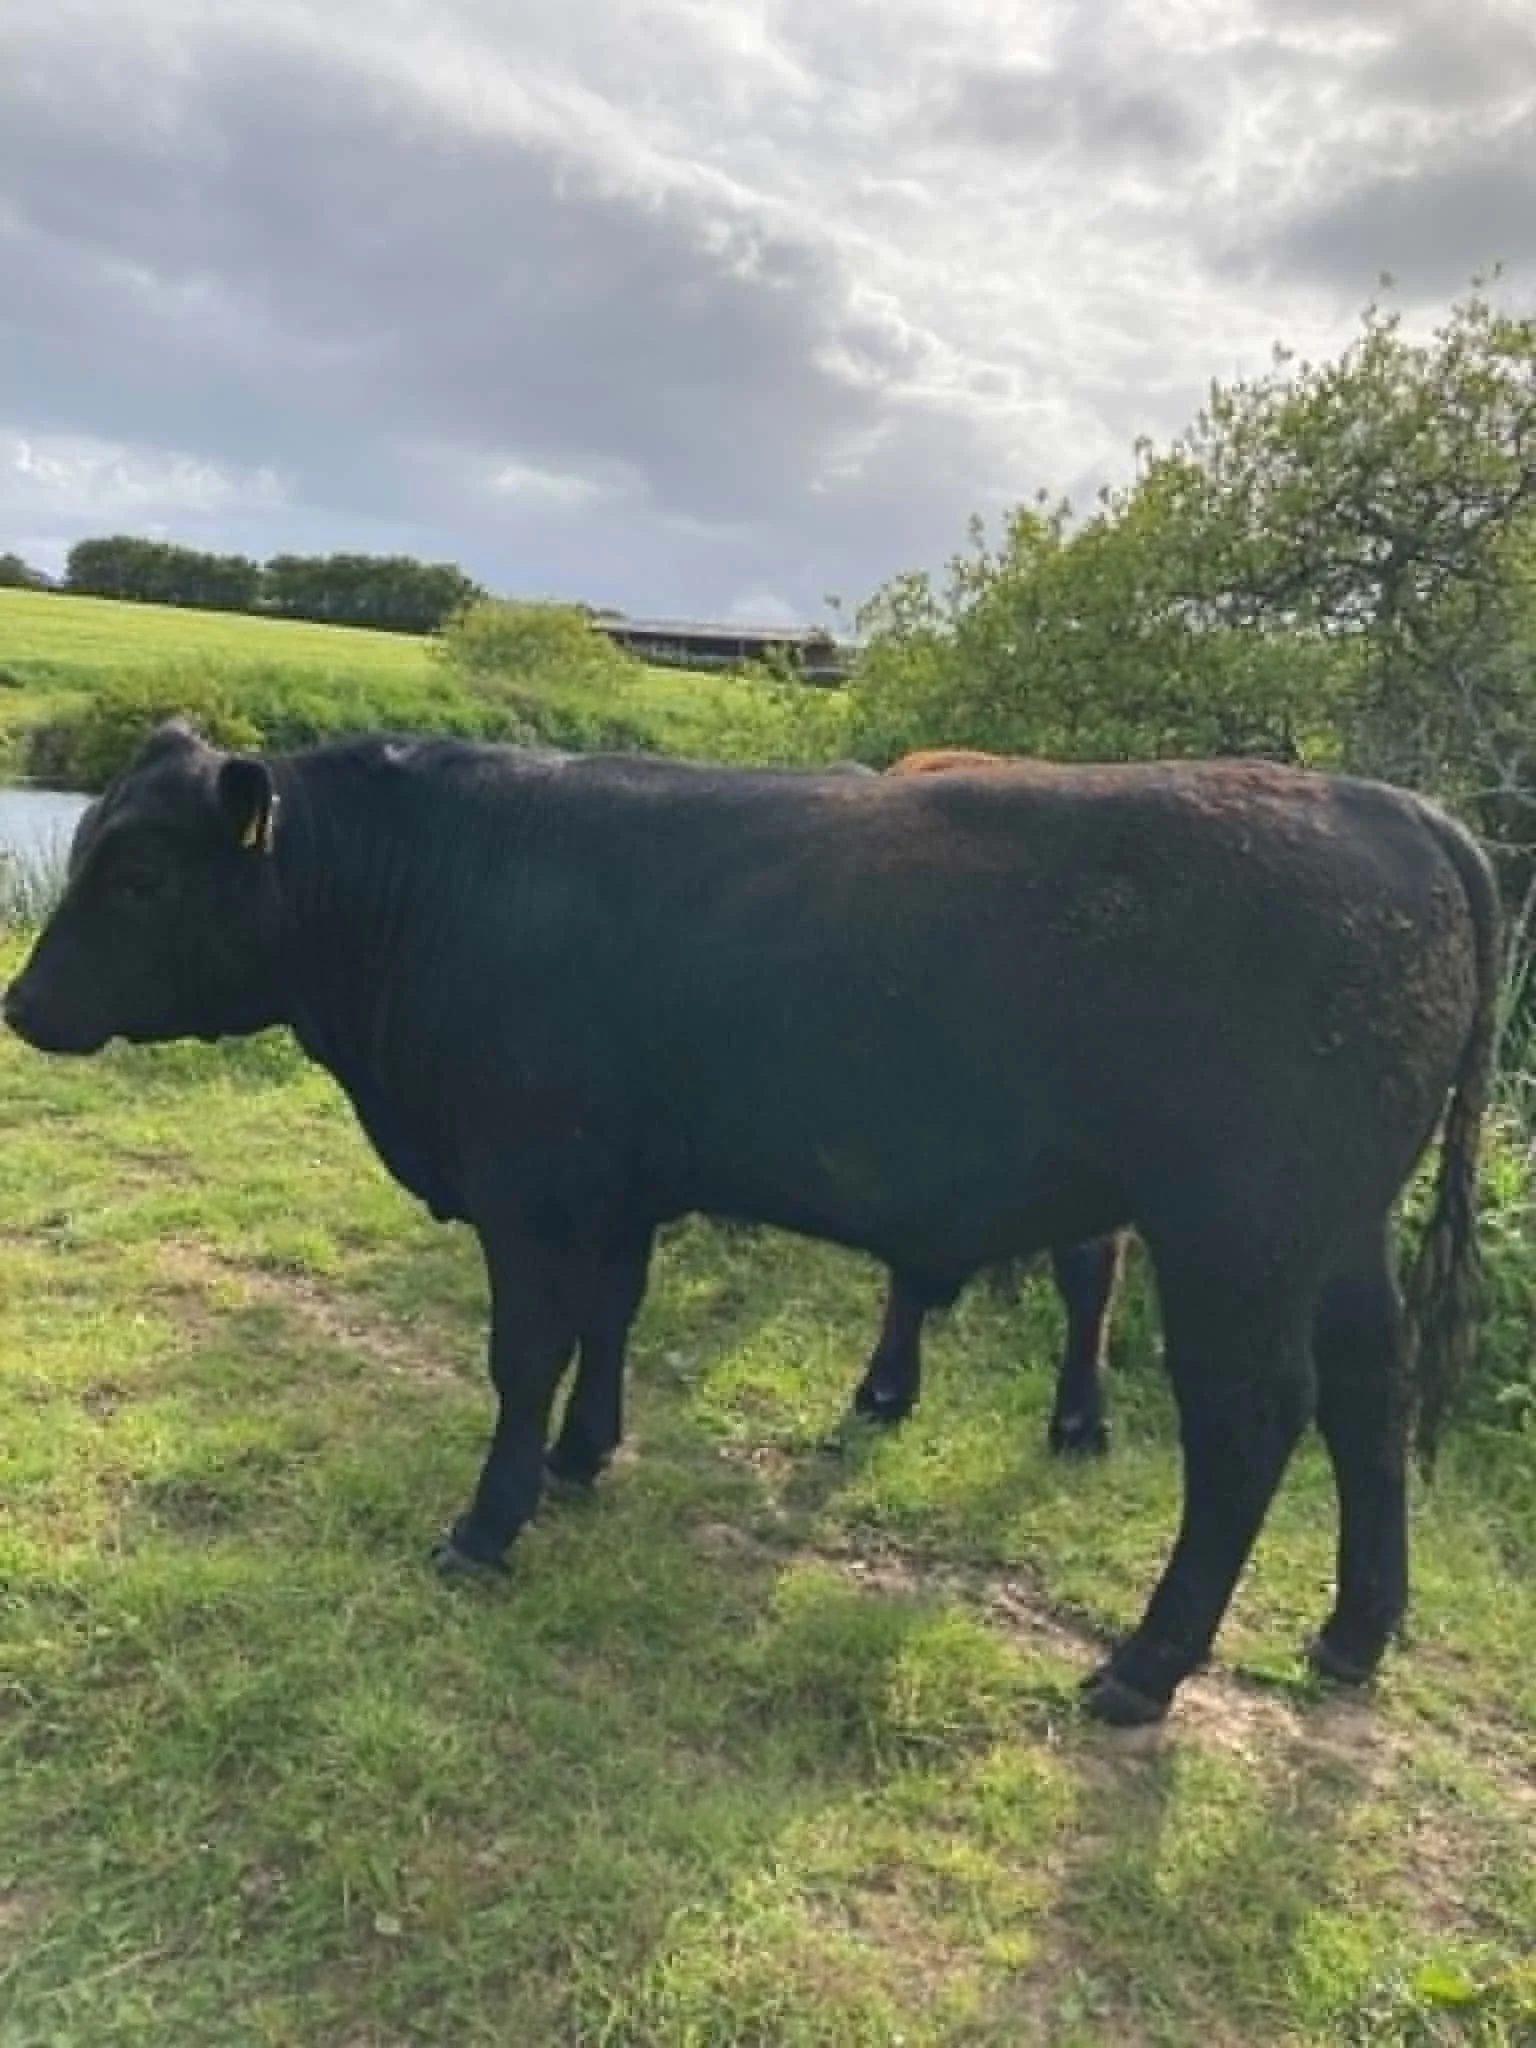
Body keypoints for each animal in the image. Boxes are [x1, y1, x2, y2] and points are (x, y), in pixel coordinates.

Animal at [3, 722, 1496, 1726]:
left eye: (141, 877)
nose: (22, 1004)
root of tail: (1392, 806)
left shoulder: (531, 1185)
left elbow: (524, 1354)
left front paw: (487, 1524)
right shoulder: (613, 1190)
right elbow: (608, 1323)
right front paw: (582, 1459)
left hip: (1237, 1232)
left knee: (1252, 1422)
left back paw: (1143, 1668)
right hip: (1343, 1227)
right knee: (1368, 1397)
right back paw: (1354, 1633)